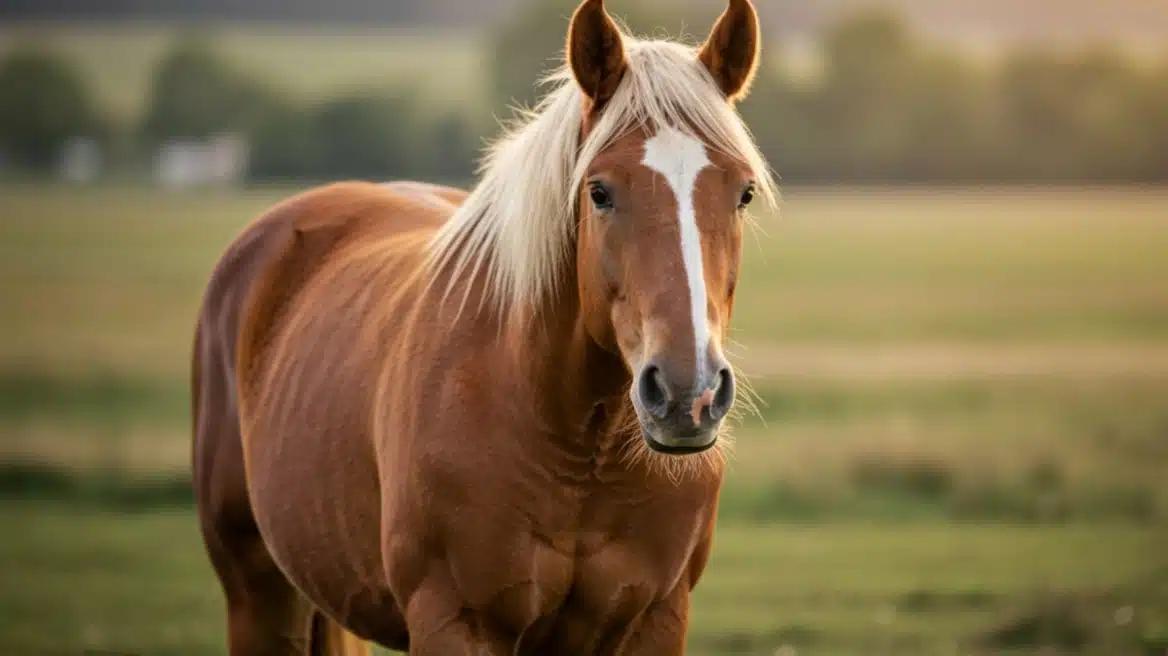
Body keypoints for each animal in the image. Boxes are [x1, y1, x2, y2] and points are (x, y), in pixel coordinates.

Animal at [192, 0, 776, 653]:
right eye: (600, 192)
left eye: (743, 193)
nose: (685, 394)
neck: (577, 446)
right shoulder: (456, 620)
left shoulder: (656, 618)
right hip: (258, 594)